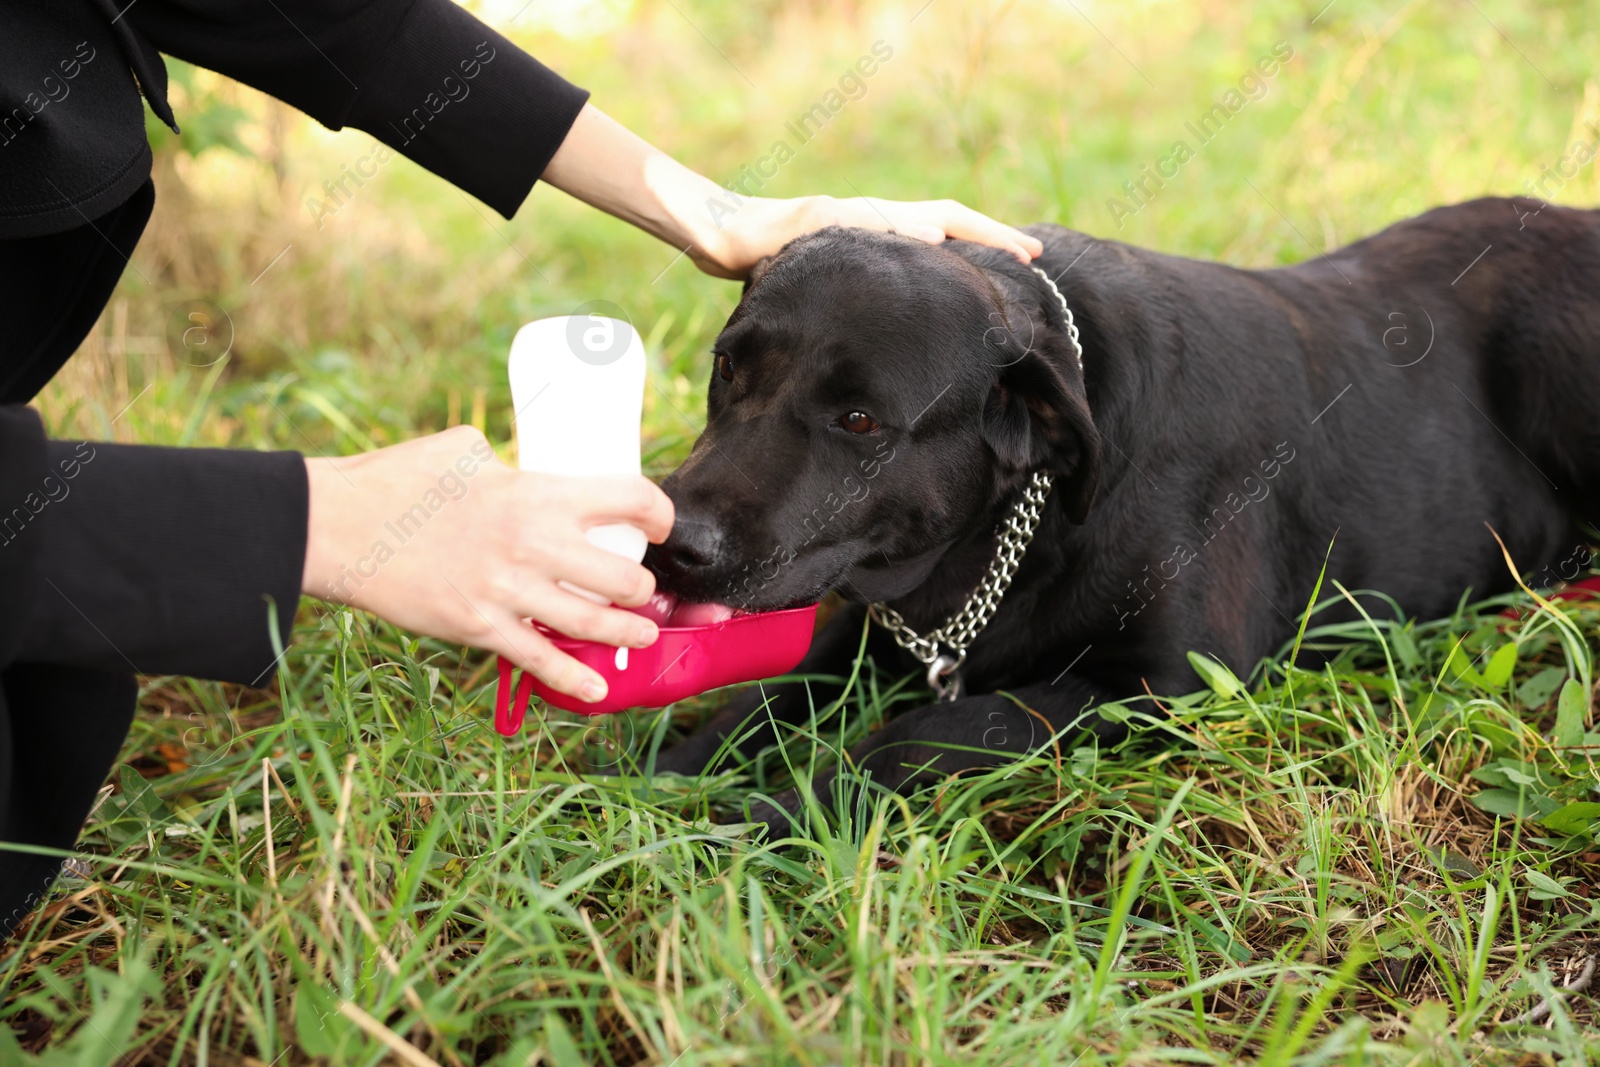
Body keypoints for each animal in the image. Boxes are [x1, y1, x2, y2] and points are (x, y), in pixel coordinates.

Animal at [640, 198, 1600, 825]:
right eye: (728, 367)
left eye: (860, 420)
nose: (673, 544)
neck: (1022, 528)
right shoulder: (877, 630)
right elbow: (761, 699)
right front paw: (660, 769)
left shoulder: (1169, 684)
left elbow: (922, 729)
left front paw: (759, 814)